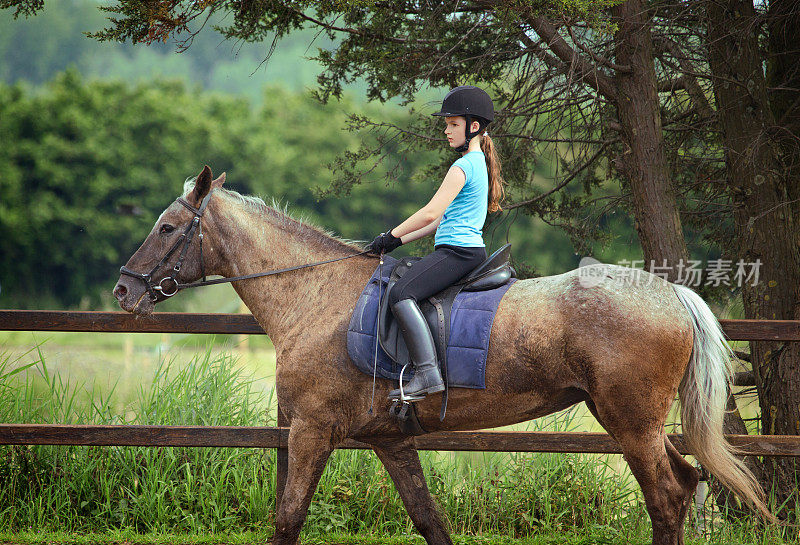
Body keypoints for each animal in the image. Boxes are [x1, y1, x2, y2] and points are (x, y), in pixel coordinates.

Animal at [115, 166, 772, 544]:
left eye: (168, 228)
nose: (123, 291)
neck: (316, 296)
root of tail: (669, 291)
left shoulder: (310, 431)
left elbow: (287, 519)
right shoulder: (390, 440)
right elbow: (430, 520)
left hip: (630, 422)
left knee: (666, 498)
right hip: (638, 422)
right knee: (683, 485)